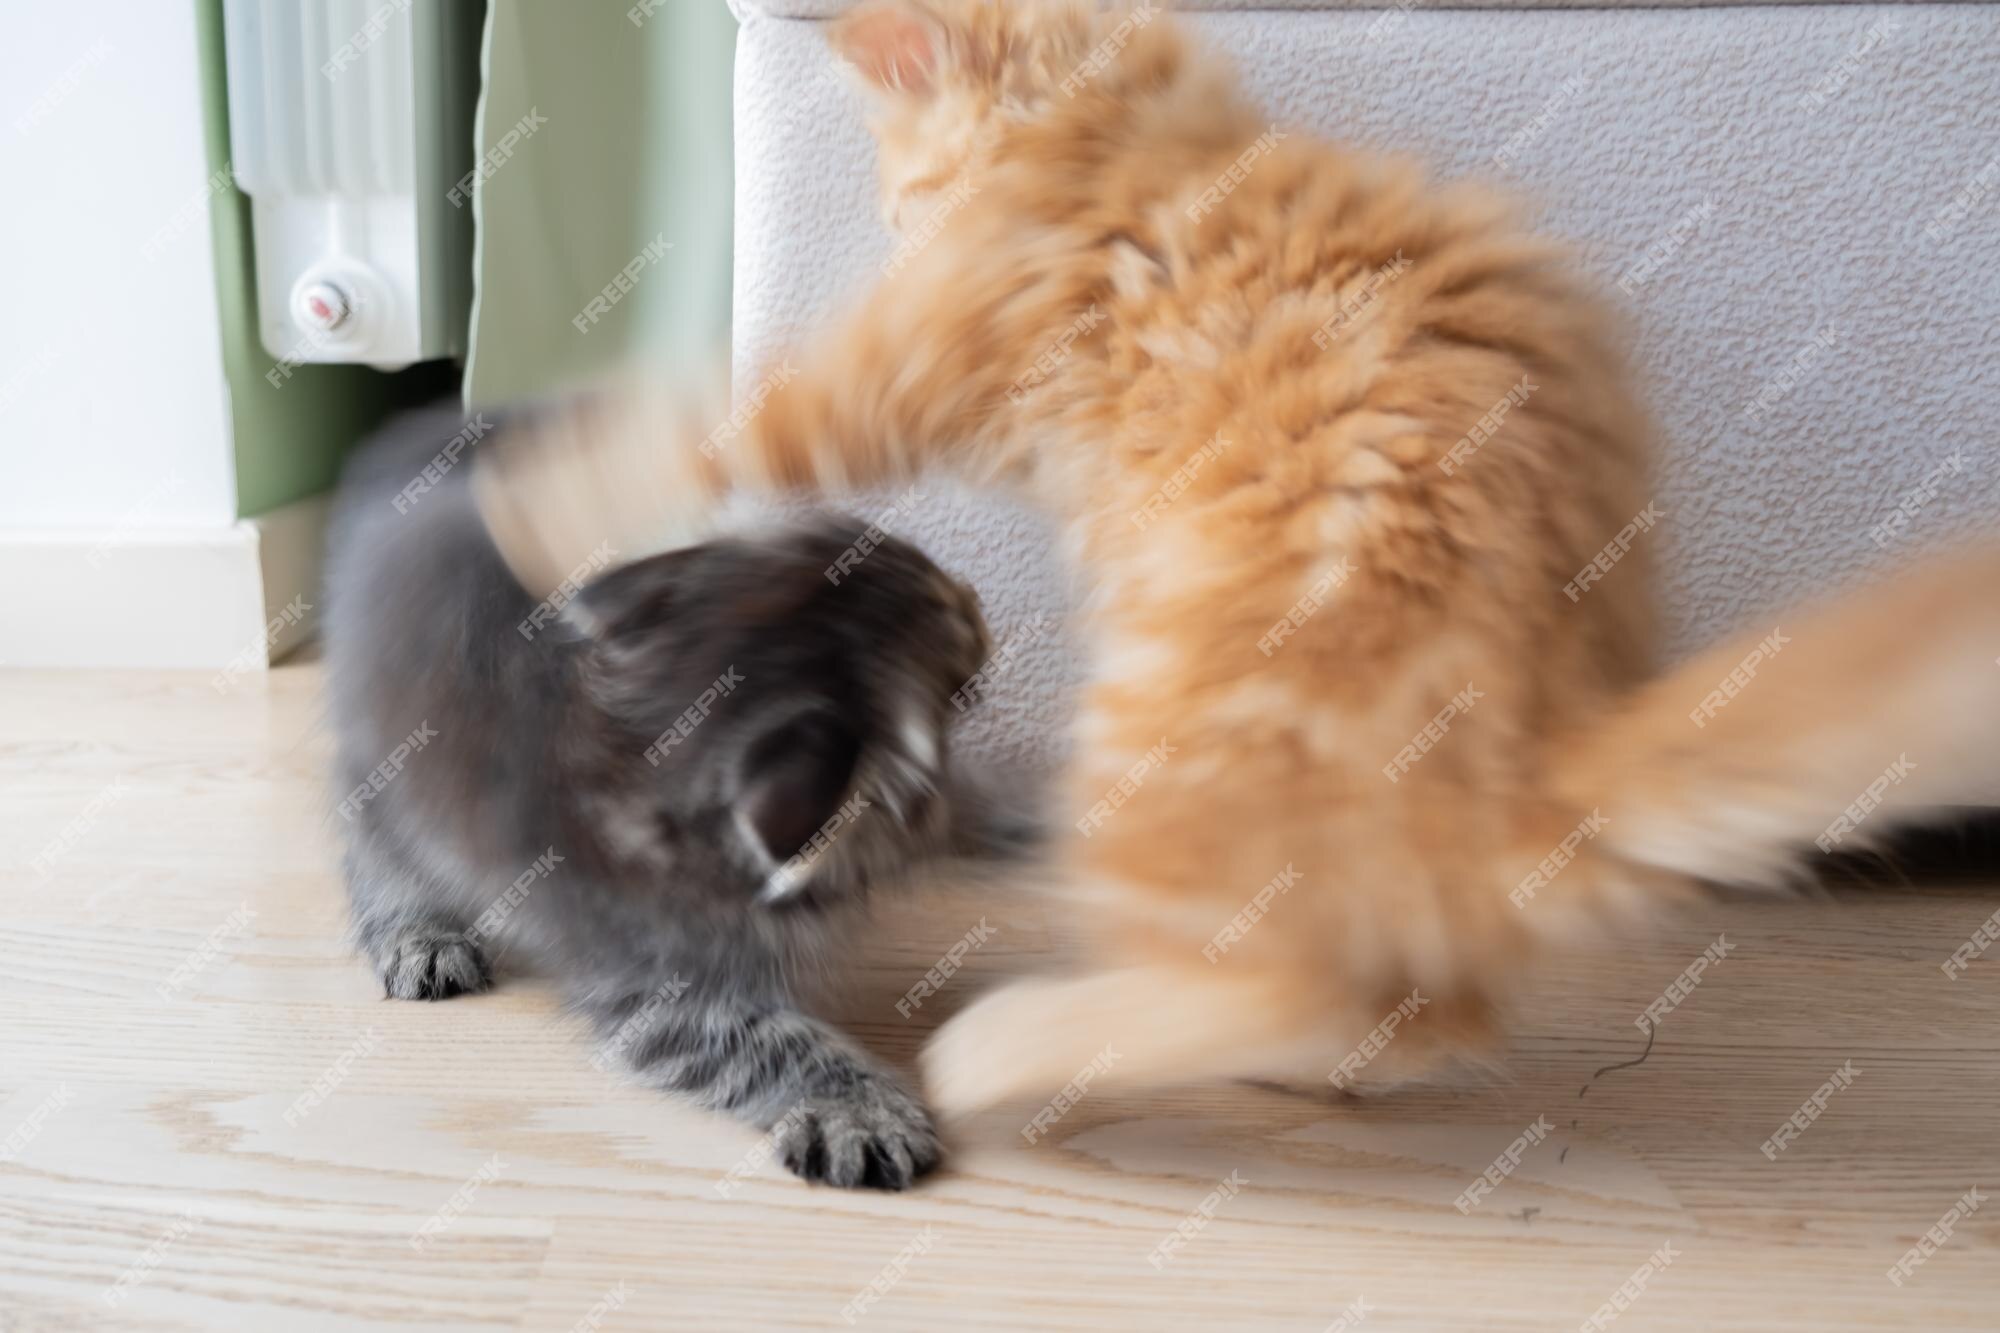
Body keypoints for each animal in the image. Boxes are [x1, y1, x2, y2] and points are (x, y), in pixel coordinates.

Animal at [324, 400, 1000, 1184]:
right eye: (951, 620)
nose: (977, 602)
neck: (643, 744)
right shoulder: (652, 976)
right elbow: (763, 1039)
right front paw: (857, 1106)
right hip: (381, 771)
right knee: (375, 855)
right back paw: (419, 933)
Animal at [476, 0, 2000, 1120]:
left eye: (903, 187)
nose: (901, 220)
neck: (1130, 144)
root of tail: (1529, 768)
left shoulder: (903, 364)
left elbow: (729, 422)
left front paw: (529, 500)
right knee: (1420, 1012)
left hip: (1147, 737)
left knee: (1314, 990)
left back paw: (1015, 1048)